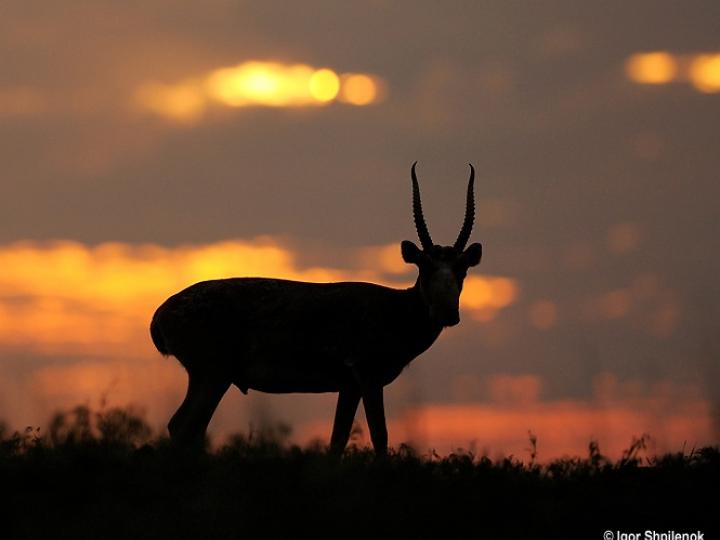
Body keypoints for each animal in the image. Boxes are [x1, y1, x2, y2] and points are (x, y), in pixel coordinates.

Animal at [148, 162, 480, 454]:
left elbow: (338, 439)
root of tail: (161, 314)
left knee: (185, 427)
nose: (447, 313)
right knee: (184, 426)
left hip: (207, 377)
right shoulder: (368, 376)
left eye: (462, 268)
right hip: (213, 374)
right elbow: (380, 435)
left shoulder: (349, 386)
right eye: (424, 266)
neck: (394, 310)